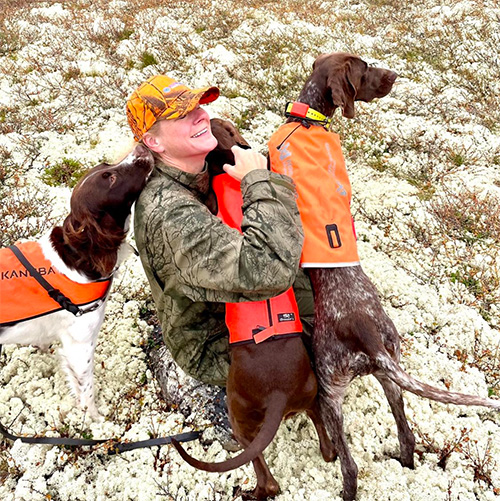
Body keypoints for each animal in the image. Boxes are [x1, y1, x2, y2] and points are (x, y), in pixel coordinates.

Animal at [0, 145, 153, 418]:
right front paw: (96, 420)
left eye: (105, 166)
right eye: (111, 179)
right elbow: (86, 390)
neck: (79, 257)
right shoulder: (79, 344)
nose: (142, 146)